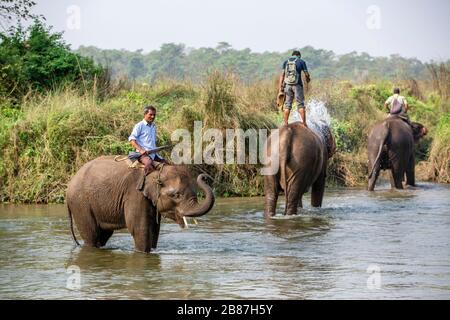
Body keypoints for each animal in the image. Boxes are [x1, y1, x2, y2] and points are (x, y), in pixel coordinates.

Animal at [66, 157, 215, 252]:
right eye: (176, 195)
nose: (205, 176)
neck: (157, 170)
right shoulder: (135, 193)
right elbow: (139, 228)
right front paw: (142, 253)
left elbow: (154, 229)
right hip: (81, 204)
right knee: (91, 234)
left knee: (103, 235)